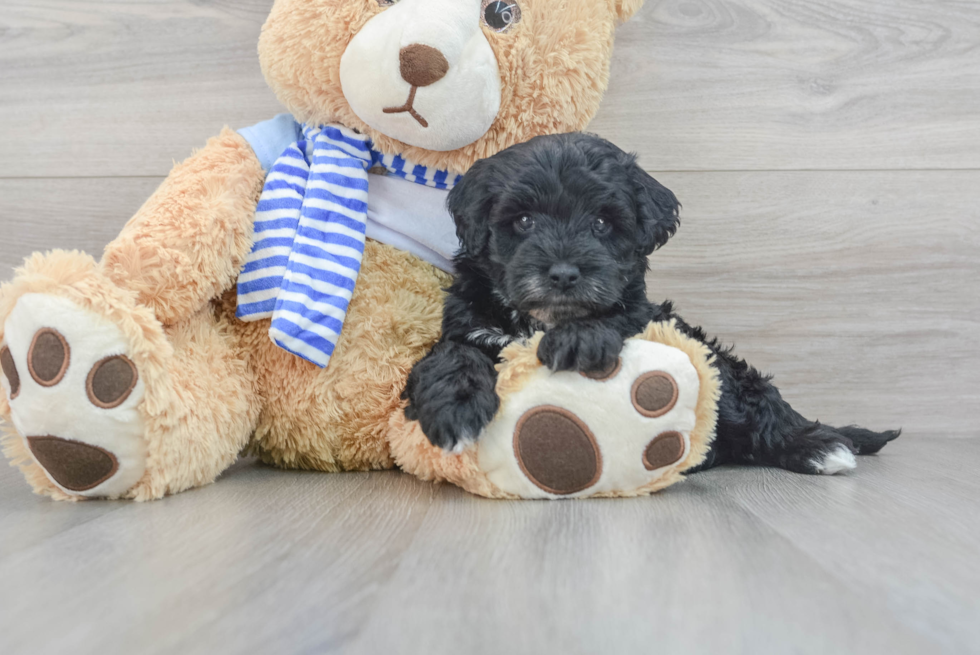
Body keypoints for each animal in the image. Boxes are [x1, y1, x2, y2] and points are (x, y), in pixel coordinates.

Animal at [402, 133, 900, 474]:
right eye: (523, 221)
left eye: (602, 224)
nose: (563, 273)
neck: (538, 320)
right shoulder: (467, 326)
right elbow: (453, 355)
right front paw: (455, 409)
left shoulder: (646, 316)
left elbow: (618, 317)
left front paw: (579, 339)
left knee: (761, 407)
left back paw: (820, 446)